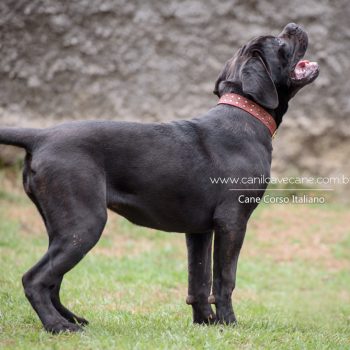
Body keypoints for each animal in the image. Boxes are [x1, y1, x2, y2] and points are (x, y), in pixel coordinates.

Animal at [0, 22, 318, 334]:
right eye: (279, 43)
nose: (293, 25)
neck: (246, 114)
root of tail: (41, 136)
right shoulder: (232, 222)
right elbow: (224, 279)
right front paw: (228, 324)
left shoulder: (199, 230)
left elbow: (198, 279)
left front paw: (205, 323)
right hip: (83, 224)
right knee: (35, 279)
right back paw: (58, 326)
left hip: (62, 227)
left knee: (53, 280)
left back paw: (72, 320)